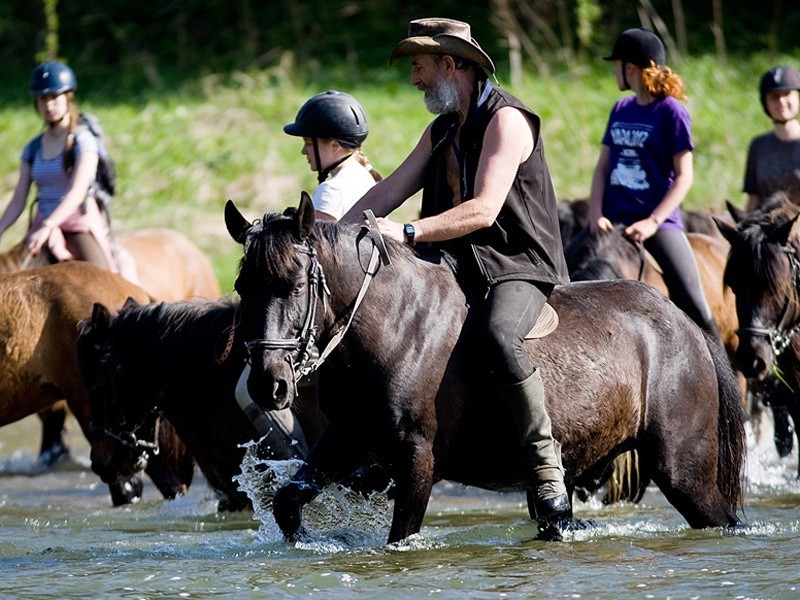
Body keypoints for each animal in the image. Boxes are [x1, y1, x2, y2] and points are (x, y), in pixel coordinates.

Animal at [223, 196, 744, 544]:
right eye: (243, 287)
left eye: (295, 285)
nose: (267, 384)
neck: (390, 325)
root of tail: (687, 325)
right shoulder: (347, 437)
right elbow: (289, 503)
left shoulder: (417, 458)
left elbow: (401, 537)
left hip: (684, 470)